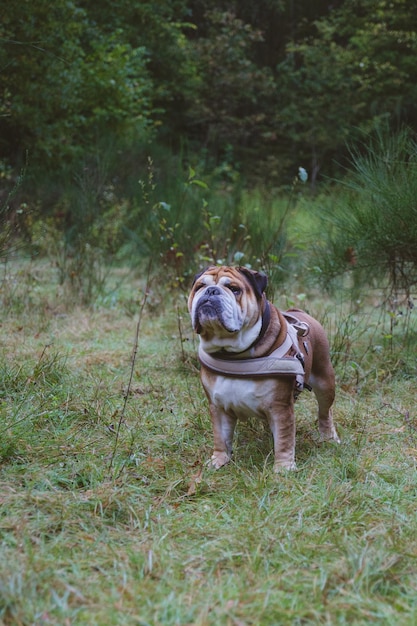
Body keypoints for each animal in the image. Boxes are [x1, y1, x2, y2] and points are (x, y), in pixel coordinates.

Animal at [188, 264, 338, 468]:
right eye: (199, 287)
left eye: (234, 289)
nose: (211, 291)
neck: (234, 355)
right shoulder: (217, 407)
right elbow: (220, 437)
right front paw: (219, 461)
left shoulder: (280, 407)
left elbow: (284, 438)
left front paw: (283, 467)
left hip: (324, 381)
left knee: (325, 411)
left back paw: (329, 437)